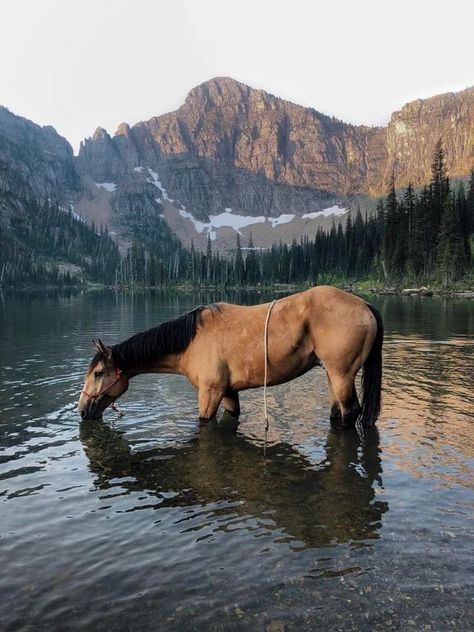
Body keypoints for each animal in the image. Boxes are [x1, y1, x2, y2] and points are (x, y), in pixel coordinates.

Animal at [77, 286, 382, 424]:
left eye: (98, 373)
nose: (82, 410)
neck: (191, 341)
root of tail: (364, 304)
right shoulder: (228, 392)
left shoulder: (209, 393)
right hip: (332, 374)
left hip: (341, 375)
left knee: (350, 413)